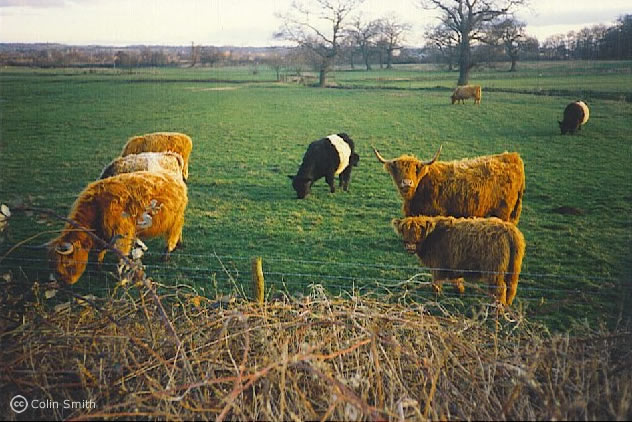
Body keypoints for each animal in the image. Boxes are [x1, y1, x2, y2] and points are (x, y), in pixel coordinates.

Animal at [47, 170, 186, 286]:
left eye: (67, 262)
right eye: (53, 264)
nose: (65, 282)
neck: (96, 208)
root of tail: (173, 176)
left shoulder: (122, 232)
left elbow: (121, 254)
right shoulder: (103, 234)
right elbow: (101, 250)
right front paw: (98, 267)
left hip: (175, 220)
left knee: (172, 236)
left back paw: (166, 255)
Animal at [392, 216, 524, 304]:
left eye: (419, 231)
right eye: (404, 230)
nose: (410, 247)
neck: (432, 237)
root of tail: (508, 228)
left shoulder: (437, 266)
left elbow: (436, 284)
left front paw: (436, 297)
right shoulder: (453, 264)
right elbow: (456, 281)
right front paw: (460, 292)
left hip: (494, 271)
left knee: (499, 289)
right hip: (513, 268)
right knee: (511, 286)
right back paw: (506, 305)